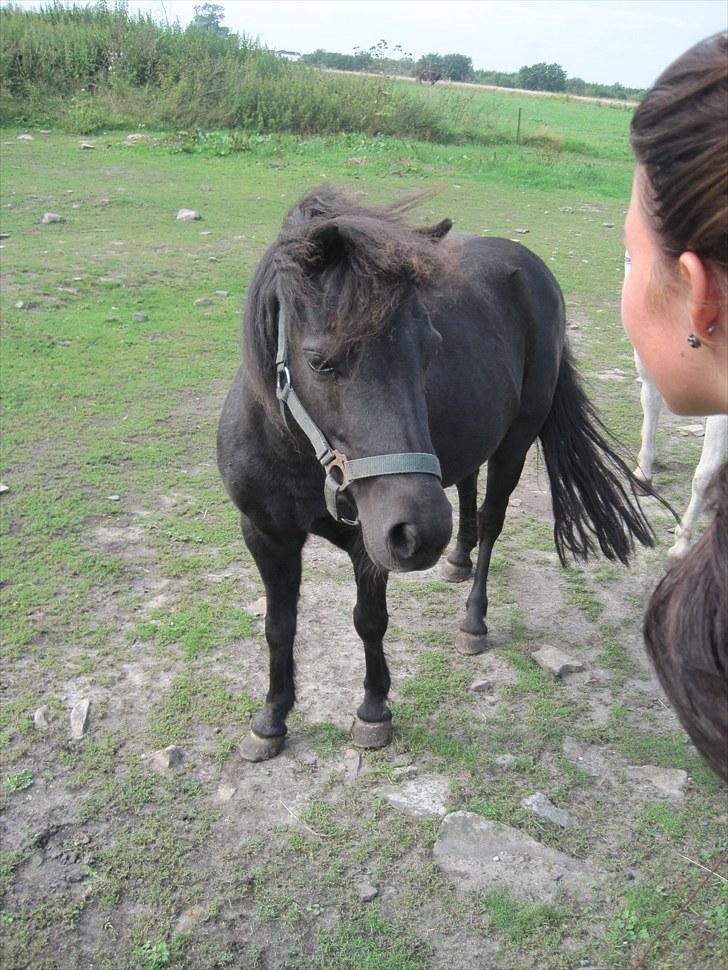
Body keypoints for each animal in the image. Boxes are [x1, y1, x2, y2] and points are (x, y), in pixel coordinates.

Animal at [218, 185, 656, 760]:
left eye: (430, 350)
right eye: (319, 361)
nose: (420, 533)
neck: (297, 459)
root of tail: (531, 267)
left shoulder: (369, 544)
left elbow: (369, 621)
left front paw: (373, 710)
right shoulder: (266, 535)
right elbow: (278, 627)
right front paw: (270, 719)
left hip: (516, 440)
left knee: (491, 519)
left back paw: (473, 618)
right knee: (467, 489)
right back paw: (456, 558)